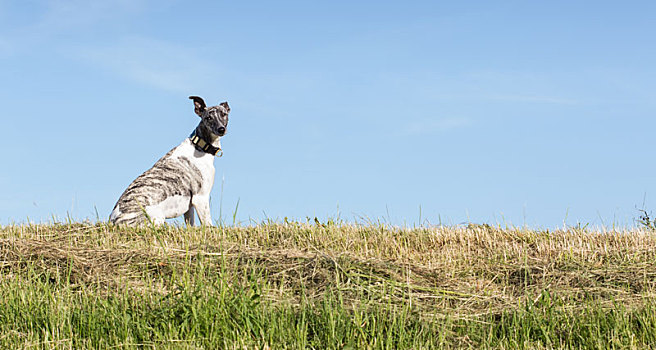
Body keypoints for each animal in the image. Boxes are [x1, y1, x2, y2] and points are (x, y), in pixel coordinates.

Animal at [109, 95, 229, 227]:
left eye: (224, 114)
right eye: (208, 118)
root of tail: (114, 221)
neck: (199, 145)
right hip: (157, 218)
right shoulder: (201, 198)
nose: (221, 129)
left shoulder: (189, 206)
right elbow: (208, 225)